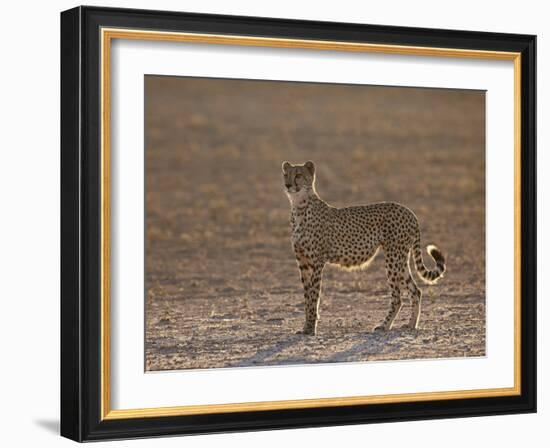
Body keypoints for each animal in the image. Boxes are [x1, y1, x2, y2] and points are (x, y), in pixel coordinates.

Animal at [282, 159, 446, 334]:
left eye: (298, 175)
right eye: (286, 174)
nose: (287, 185)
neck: (299, 207)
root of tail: (409, 211)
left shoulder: (317, 262)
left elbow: (313, 296)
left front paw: (311, 328)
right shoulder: (303, 263)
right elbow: (307, 296)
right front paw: (306, 326)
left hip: (393, 258)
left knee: (397, 297)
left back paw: (385, 325)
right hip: (400, 259)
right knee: (416, 291)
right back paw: (411, 325)